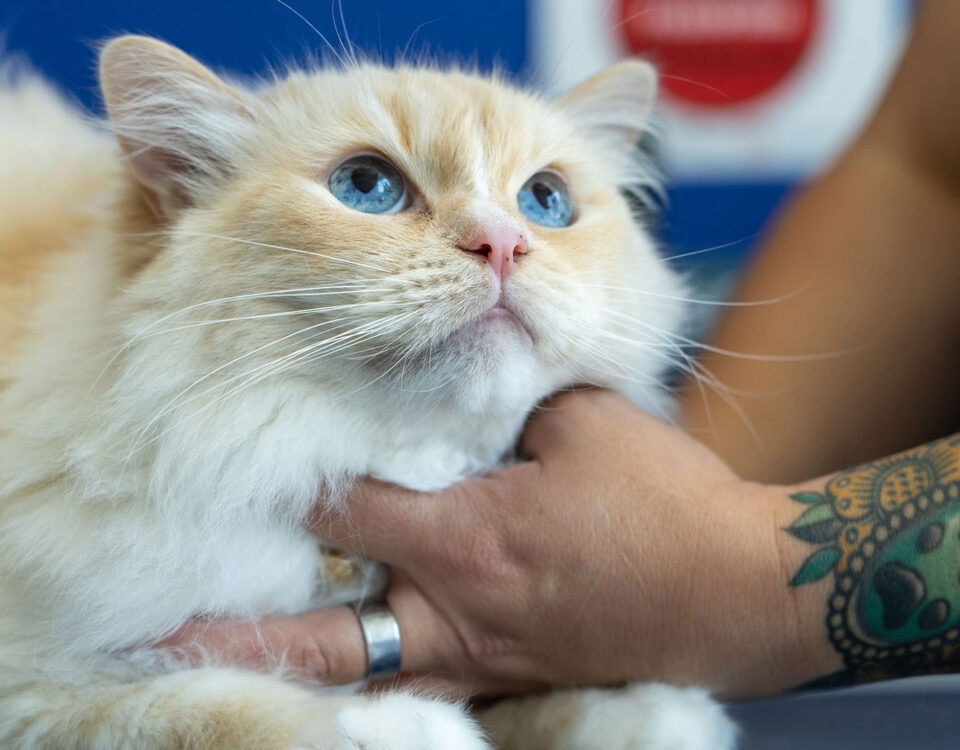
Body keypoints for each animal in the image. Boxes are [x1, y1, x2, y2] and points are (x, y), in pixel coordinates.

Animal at [0, 33, 736, 750]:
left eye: (545, 200)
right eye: (365, 186)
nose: (503, 243)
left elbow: (548, 707)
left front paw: (655, 715)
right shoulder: (36, 692)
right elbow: (214, 708)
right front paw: (408, 726)